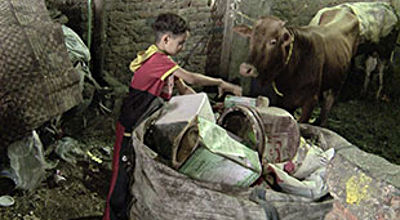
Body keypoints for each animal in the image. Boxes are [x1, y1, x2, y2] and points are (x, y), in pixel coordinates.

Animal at [231, 9, 360, 125]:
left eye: (273, 41)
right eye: (251, 37)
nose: (246, 68)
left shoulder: (310, 101)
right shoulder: (284, 101)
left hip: (338, 83)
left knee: (328, 103)